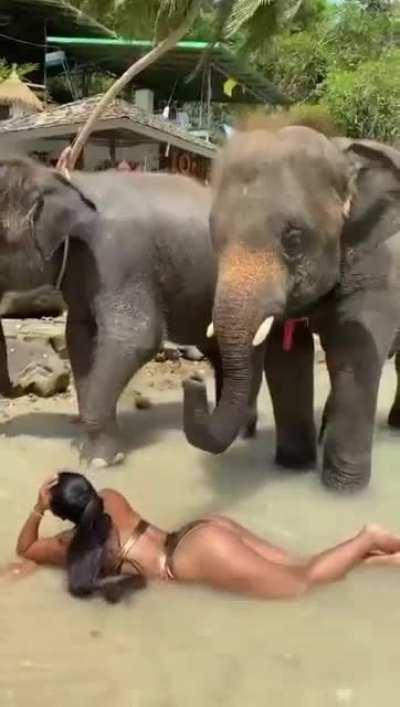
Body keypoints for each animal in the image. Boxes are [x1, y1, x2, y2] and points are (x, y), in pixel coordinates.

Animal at [0, 159, 260, 466]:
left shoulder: (118, 256)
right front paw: (85, 446)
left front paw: (99, 461)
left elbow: (136, 337)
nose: (22, 384)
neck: (66, 180)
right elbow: (79, 337)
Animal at [182, 122, 400, 491]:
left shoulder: (377, 272)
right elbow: (286, 359)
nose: (193, 381)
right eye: (215, 238)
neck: (341, 154)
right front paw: (293, 467)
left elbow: (355, 355)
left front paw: (343, 491)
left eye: (294, 240)